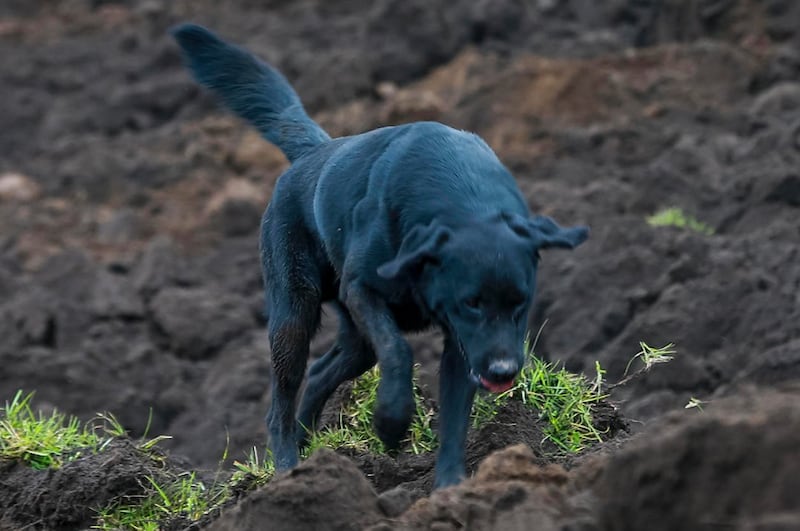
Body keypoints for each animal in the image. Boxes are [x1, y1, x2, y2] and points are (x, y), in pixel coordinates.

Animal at [173, 25, 588, 490]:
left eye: (521, 303)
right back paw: (287, 468)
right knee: (282, 400)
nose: (502, 372)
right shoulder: (366, 290)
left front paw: (450, 488)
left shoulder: (461, 340)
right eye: (472, 303)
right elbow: (398, 350)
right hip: (293, 314)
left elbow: (455, 415)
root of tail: (314, 152)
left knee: (322, 372)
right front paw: (391, 422)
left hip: (354, 339)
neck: (466, 198)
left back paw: (309, 449)